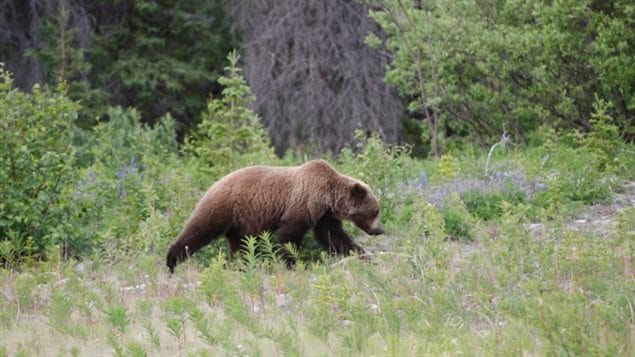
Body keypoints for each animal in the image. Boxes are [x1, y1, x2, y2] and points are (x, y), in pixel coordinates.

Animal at [166, 159, 386, 270]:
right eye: (374, 211)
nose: (379, 230)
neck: (327, 198)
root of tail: (214, 183)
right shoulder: (302, 204)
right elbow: (288, 236)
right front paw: (291, 263)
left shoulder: (323, 216)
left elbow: (335, 237)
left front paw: (363, 256)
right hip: (222, 207)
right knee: (199, 230)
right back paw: (171, 261)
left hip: (242, 222)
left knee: (241, 246)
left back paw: (238, 265)